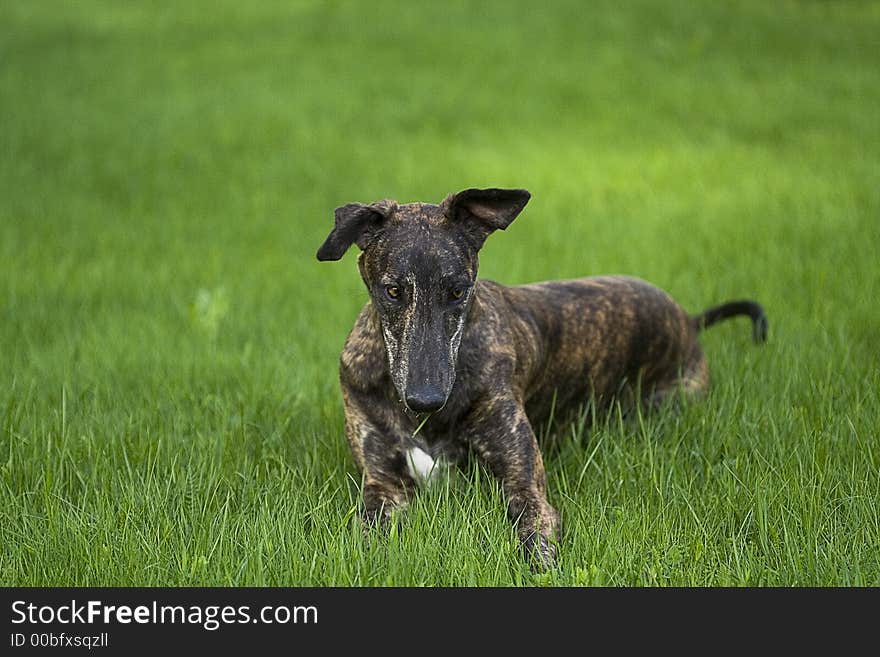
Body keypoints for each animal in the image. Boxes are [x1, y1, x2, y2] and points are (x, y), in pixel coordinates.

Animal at [314, 187, 764, 568]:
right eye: (392, 291)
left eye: (458, 291)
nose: (425, 400)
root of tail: (687, 319)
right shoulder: (383, 484)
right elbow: (366, 534)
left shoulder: (524, 486)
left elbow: (534, 531)